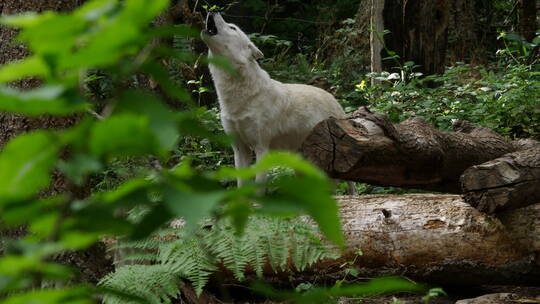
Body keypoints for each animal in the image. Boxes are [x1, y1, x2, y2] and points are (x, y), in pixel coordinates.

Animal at [201, 11, 346, 186]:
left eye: (232, 27)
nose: (212, 11)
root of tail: (334, 98)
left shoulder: (262, 148)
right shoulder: (240, 150)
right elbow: (241, 184)